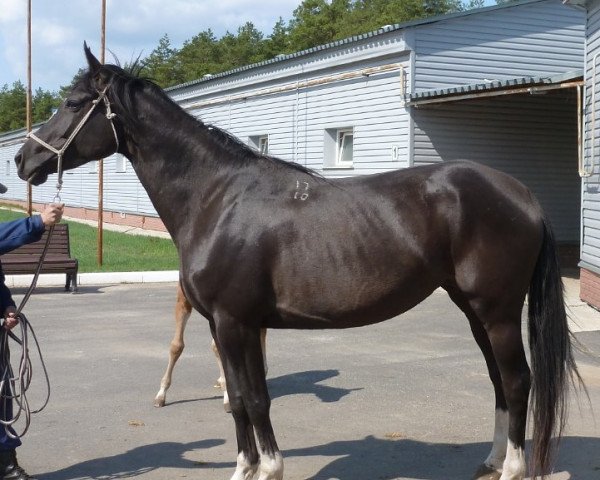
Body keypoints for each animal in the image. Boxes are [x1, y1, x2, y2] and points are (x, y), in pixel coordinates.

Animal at [15, 44, 580, 476]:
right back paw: (490, 459)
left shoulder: (237, 323)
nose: (23, 159)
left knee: (518, 381)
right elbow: (238, 397)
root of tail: (522, 194)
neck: (216, 197)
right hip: (473, 310)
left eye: (73, 103)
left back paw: (511, 468)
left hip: (497, 312)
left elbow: (255, 399)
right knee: (499, 381)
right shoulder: (224, 326)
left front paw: (268, 467)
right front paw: (244, 468)